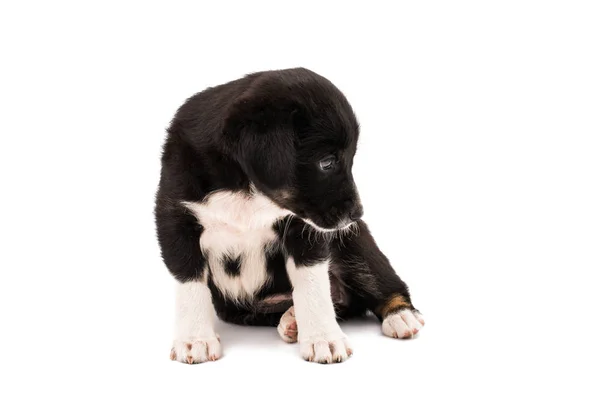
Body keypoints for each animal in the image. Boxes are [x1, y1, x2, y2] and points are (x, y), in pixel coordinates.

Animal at [157, 67, 424, 366]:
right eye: (327, 162)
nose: (358, 214)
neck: (247, 190)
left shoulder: (304, 229)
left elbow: (312, 284)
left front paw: (322, 338)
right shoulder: (175, 220)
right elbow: (190, 285)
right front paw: (195, 339)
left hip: (354, 244)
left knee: (378, 282)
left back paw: (401, 316)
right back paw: (292, 319)